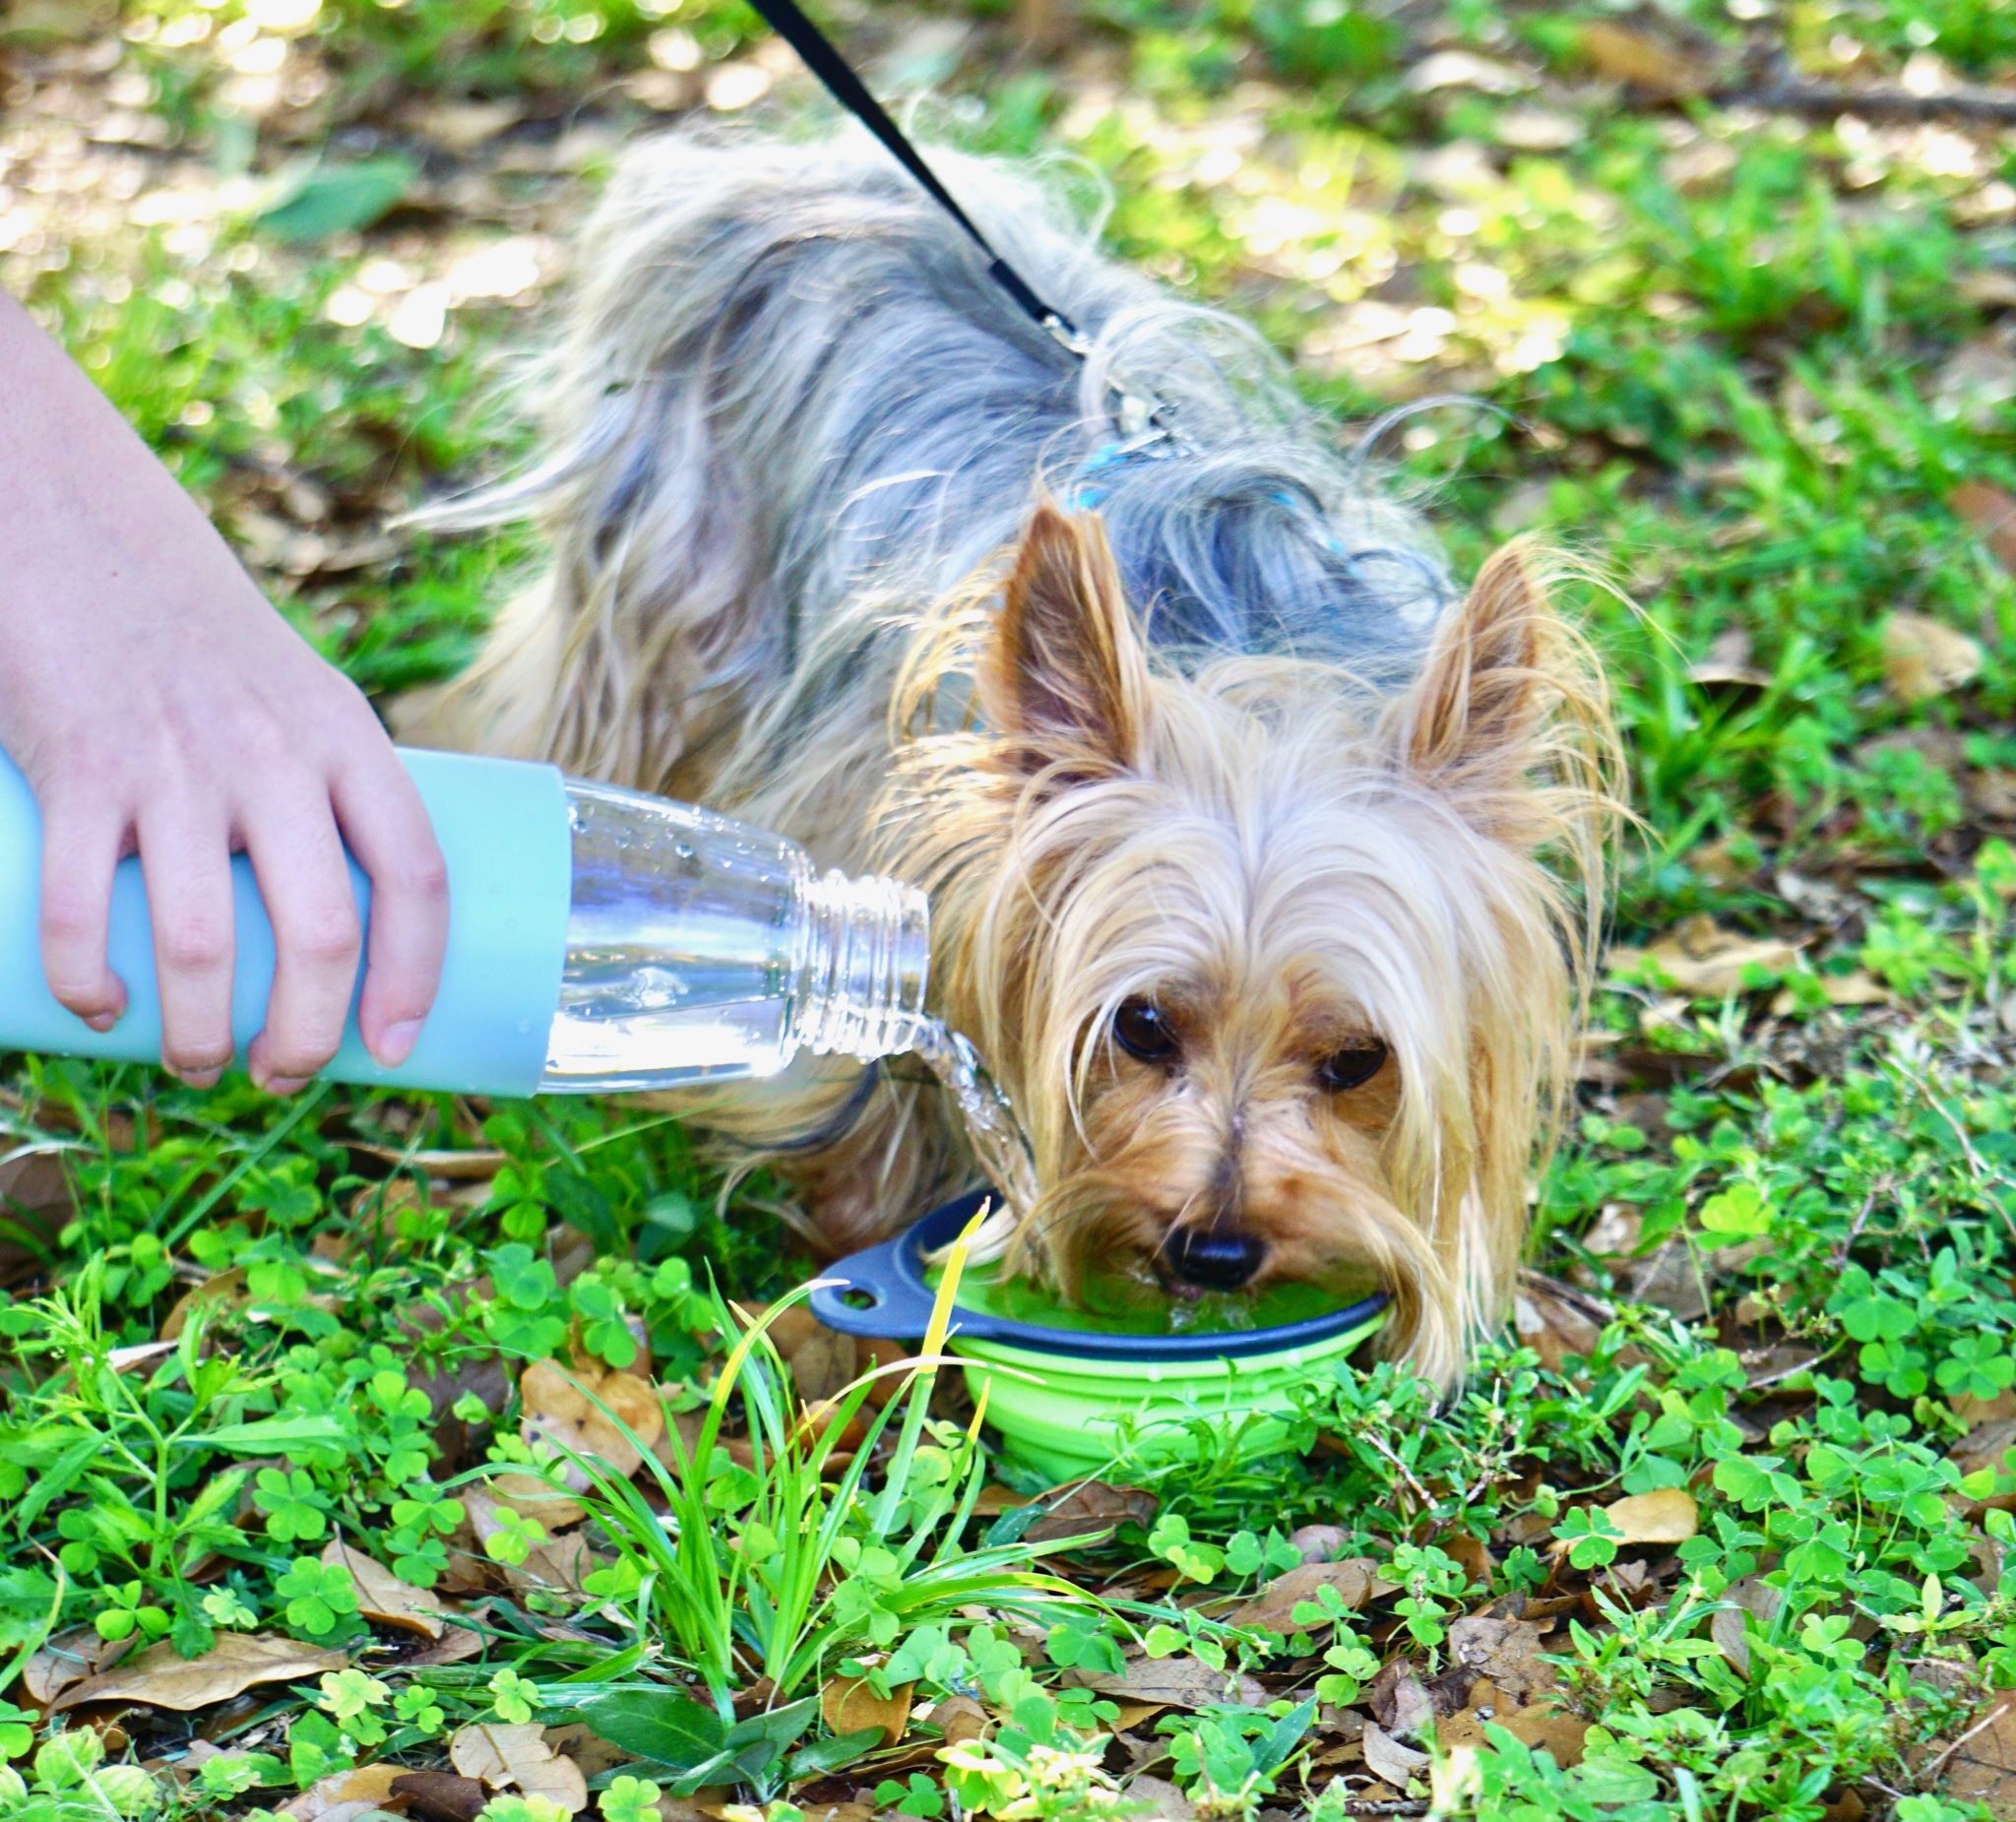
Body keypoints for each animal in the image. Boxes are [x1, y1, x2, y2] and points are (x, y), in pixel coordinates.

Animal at [409, 128, 1620, 1378]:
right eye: (1140, 1025)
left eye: (1356, 1061)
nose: (1215, 1250)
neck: (1243, 661)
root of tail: (779, 156)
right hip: (651, 587)